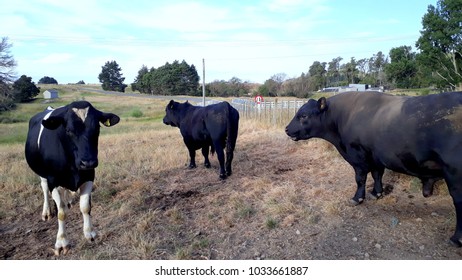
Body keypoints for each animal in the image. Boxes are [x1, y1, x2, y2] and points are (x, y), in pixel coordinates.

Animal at [25, 100, 119, 254]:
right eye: (68, 130)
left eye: (97, 127)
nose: (88, 161)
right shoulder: (53, 180)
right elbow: (62, 213)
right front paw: (62, 241)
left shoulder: (89, 175)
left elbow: (85, 207)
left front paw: (89, 233)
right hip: (42, 174)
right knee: (44, 189)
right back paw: (47, 212)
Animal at [286, 91, 462, 246]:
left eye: (303, 115)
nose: (287, 129)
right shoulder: (376, 157)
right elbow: (377, 175)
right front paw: (376, 193)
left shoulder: (358, 157)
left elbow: (360, 179)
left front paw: (357, 198)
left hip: (454, 173)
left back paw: (456, 239)